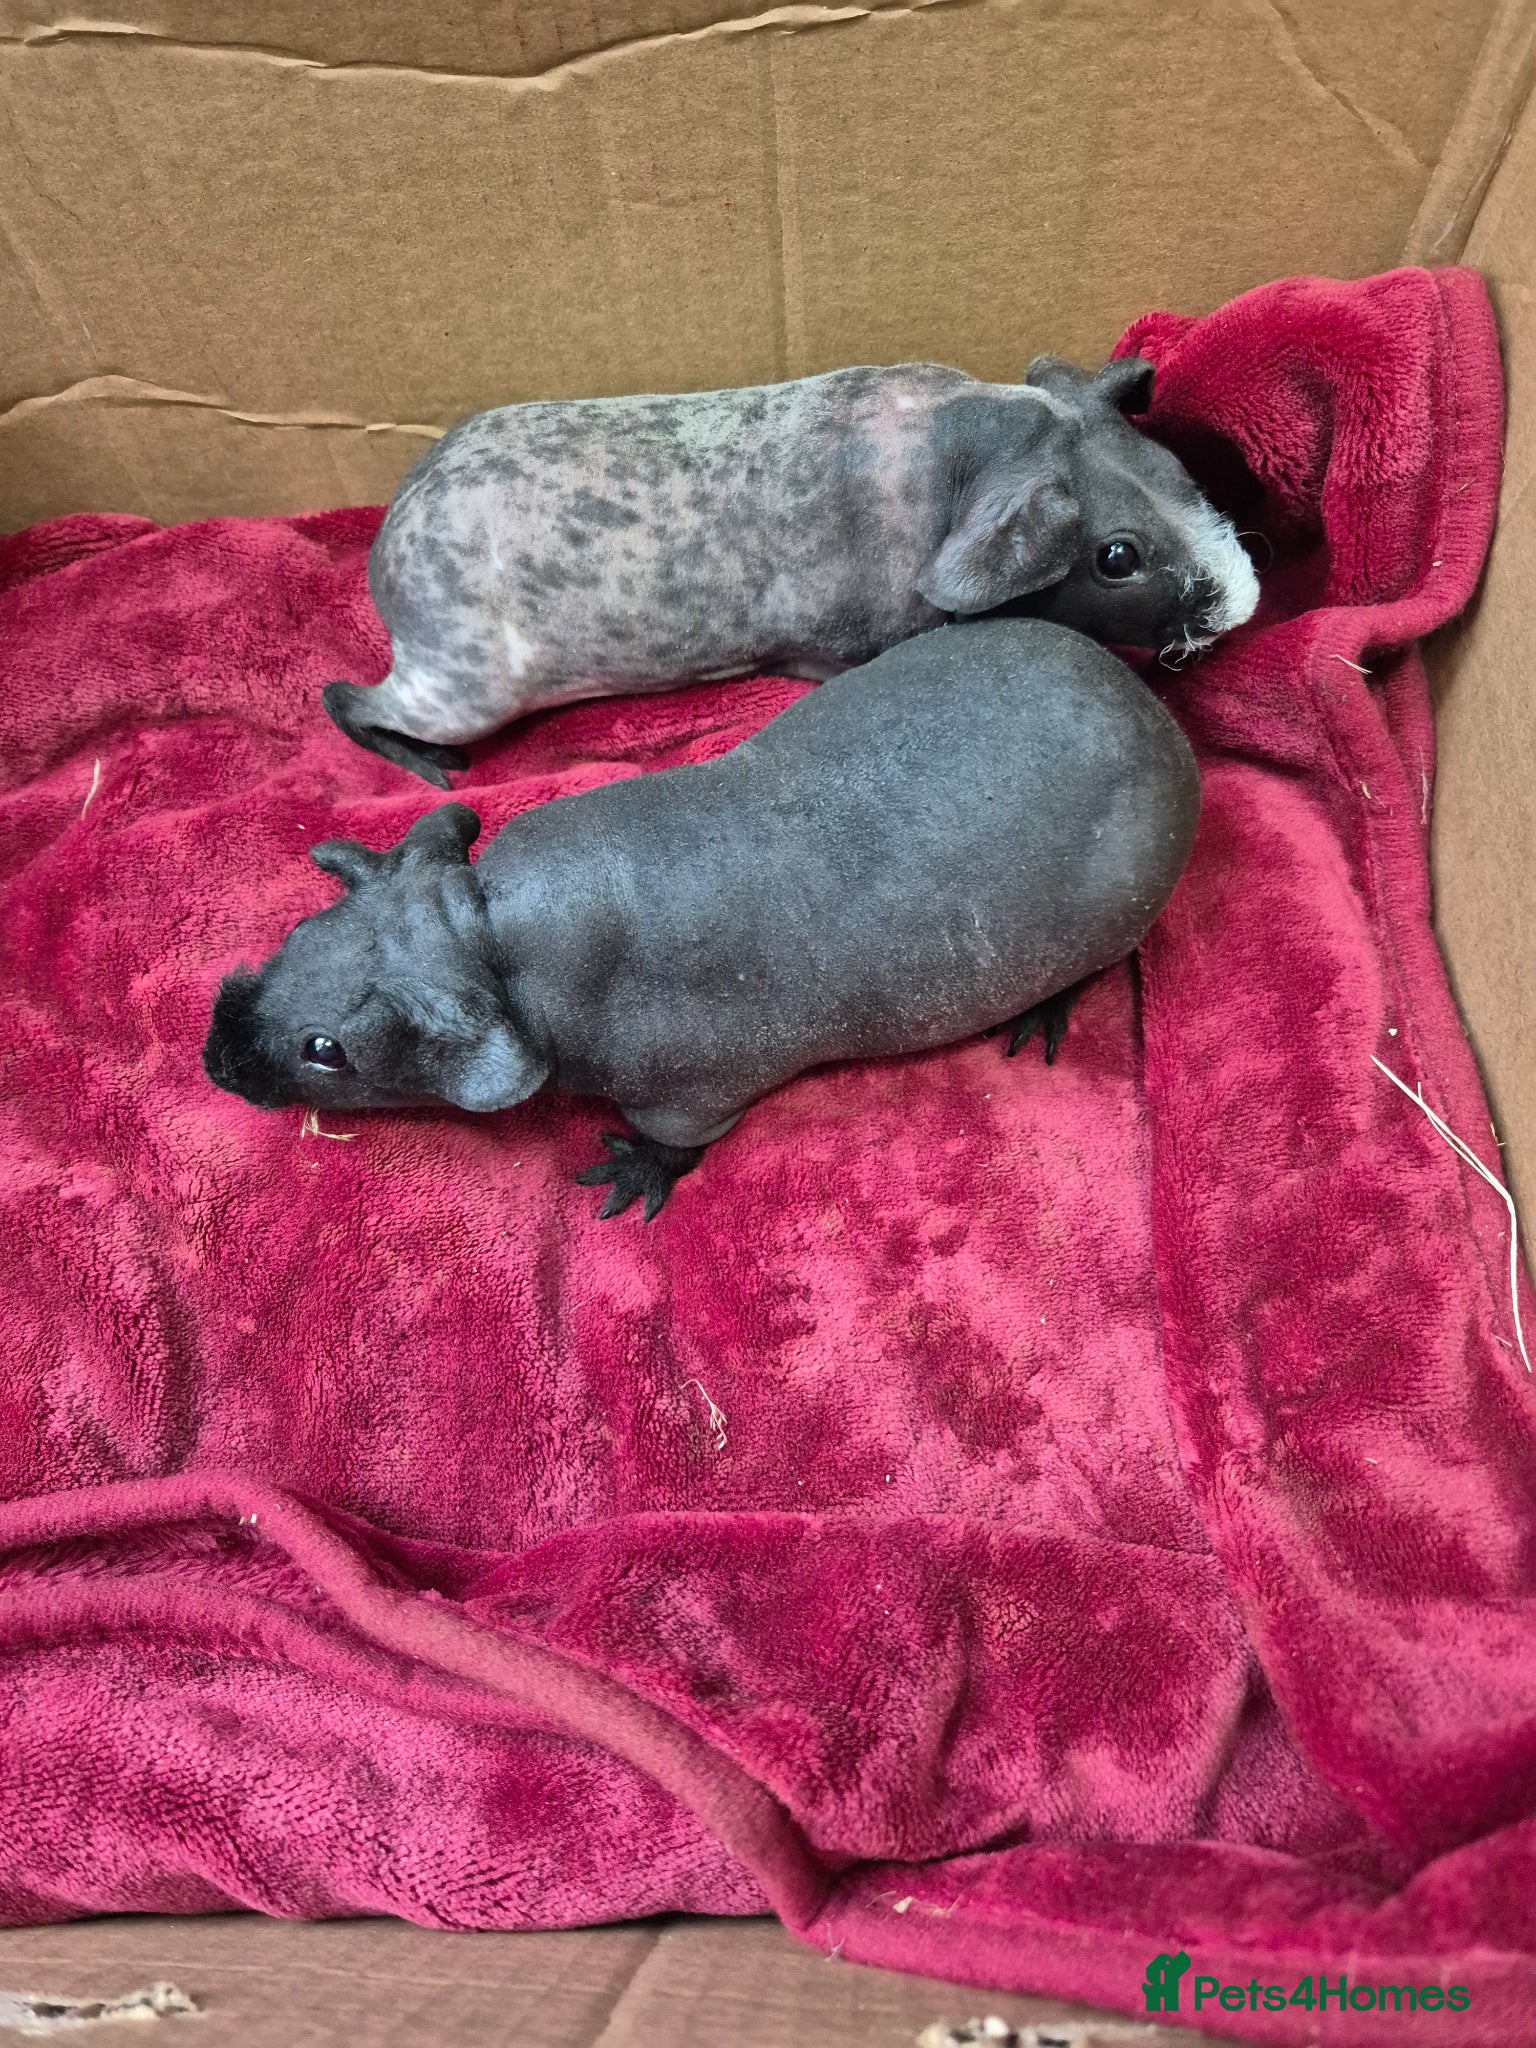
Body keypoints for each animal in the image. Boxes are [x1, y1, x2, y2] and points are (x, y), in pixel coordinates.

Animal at [210, 618, 1201, 1219]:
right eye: (298, 935)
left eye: (327, 1051)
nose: (215, 1059)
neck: (494, 938)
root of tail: (1154, 714)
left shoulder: (691, 1095)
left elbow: (670, 1146)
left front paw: (625, 1176)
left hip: (1111, 934)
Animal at [322, 356, 1258, 786]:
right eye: (1116, 556)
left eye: (1181, 472)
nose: (1245, 600)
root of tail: (389, 543)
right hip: (464, 687)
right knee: (344, 699)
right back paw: (440, 775)